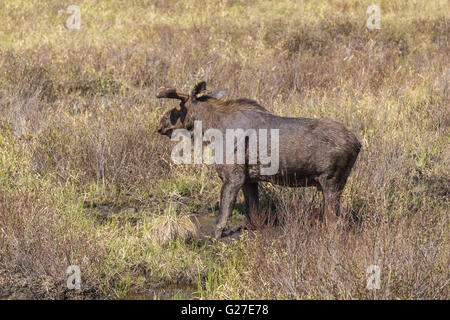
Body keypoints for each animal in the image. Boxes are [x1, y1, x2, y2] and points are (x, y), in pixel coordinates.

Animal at [156, 82, 360, 238]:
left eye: (178, 107)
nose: (161, 123)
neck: (211, 129)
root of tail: (357, 144)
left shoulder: (233, 176)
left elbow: (222, 216)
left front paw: (216, 235)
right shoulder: (250, 179)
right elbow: (253, 214)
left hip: (331, 181)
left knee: (334, 223)